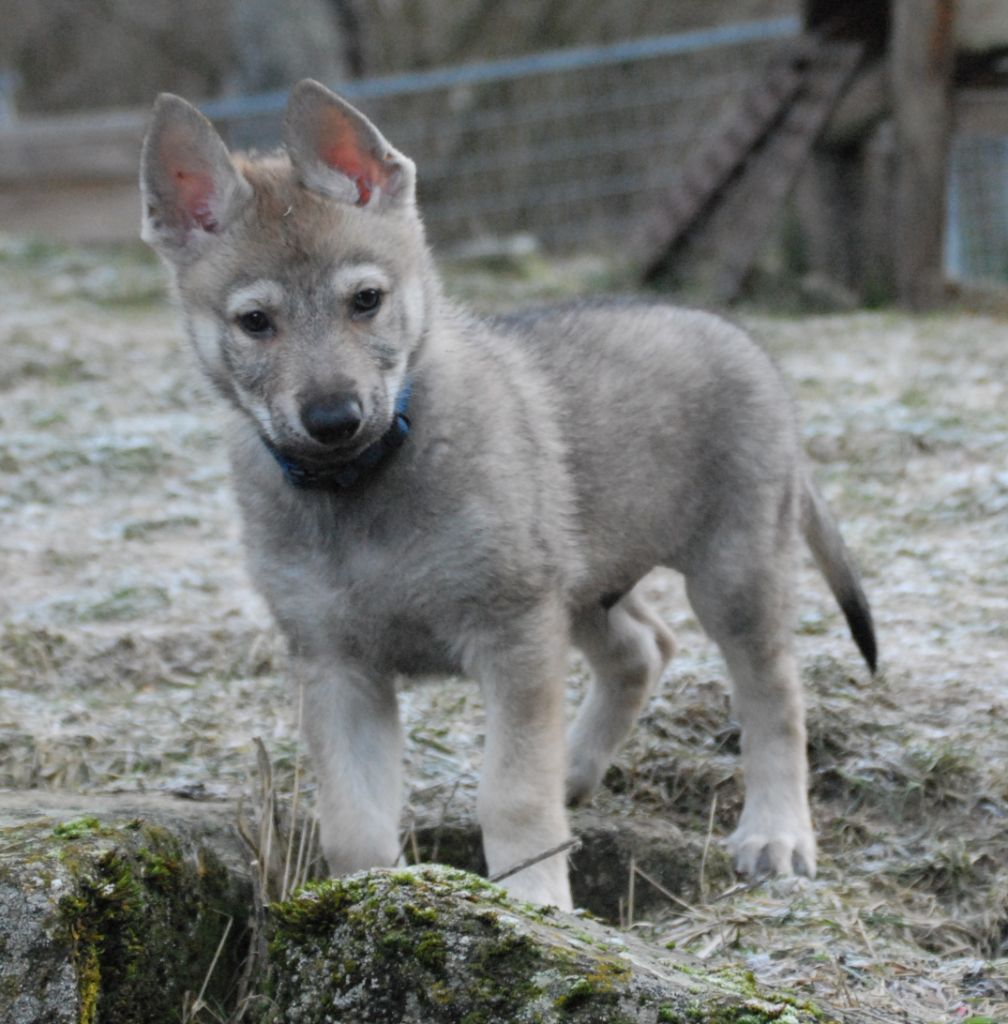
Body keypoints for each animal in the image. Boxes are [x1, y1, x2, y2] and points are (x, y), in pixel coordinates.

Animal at [139, 81, 872, 913]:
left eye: (366, 300)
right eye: (255, 322)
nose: (333, 420)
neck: (362, 485)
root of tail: (744, 341)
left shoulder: (511, 634)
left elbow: (514, 793)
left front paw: (537, 905)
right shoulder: (338, 667)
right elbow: (355, 823)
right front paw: (363, 906)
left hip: (732, 575)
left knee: (774, 698)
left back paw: (775, 834)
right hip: (583, 588)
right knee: (644, 650)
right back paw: (577, 771)